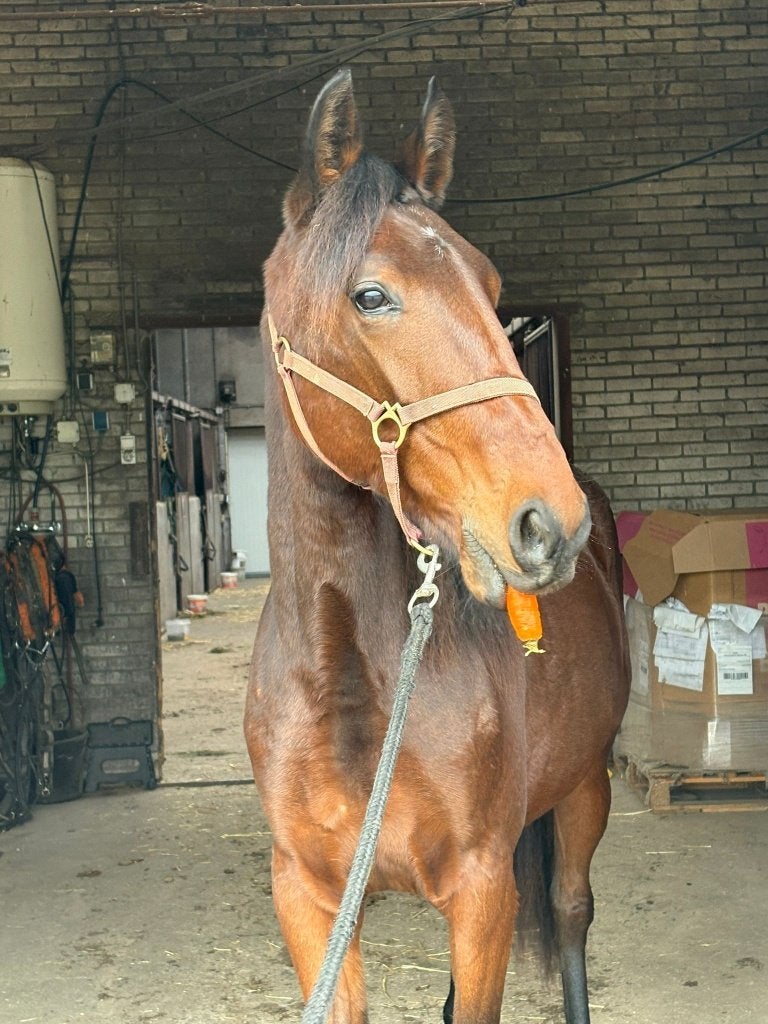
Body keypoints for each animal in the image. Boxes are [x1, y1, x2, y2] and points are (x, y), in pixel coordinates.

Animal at [245, 70, 630, 1024]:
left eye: (492, 286)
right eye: (371, 295)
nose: (550, 522)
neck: (348, 678)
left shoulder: (484, 888)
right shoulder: (310, 897)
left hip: (585, 790)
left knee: (572, 913)